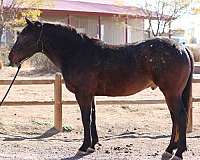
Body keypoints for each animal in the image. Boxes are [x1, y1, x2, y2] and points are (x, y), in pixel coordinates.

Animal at [8, 18, 193, 159]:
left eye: (24, 37)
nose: (10, 57)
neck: (77, 52)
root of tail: (182, 47)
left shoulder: (83, 94)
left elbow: (85, 119)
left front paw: (83, 147)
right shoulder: (91, 95)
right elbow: (92, 117)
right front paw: (92, 145)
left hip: (171, 93)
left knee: (180, 117)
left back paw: (178, 152)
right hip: (171, 94)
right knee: (175, 119)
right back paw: (169, 150)